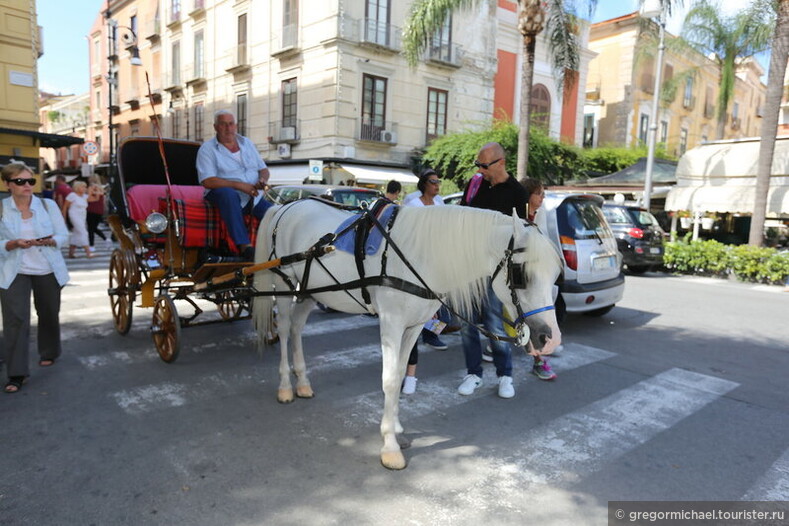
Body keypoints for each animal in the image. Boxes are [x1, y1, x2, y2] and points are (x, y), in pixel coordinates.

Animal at [252, 200, 560, 472]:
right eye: (520, 274)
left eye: (556, 274)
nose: (550, 339)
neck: (420, 256)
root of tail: (285, 206)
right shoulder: (391, 324)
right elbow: (389, 380)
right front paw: (389, 448)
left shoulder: (414, 326)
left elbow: (400, 374)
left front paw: (396, 428)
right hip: (284, 285)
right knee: (284, 330)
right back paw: (285, 386)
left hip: (311, 292)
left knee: (296, 328)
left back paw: (303, 382)